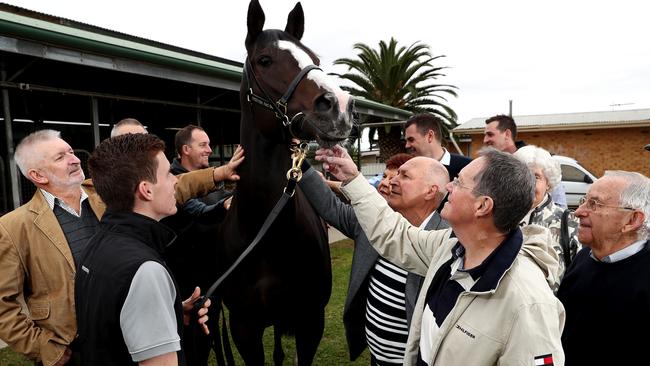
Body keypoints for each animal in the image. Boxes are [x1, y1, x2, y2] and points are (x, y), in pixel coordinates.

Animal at [215, 1, 352, 364]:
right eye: (265, 60)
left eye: (315, 58)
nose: (339, 106)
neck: (264, 233)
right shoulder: (244, 328)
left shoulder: (310, 323)